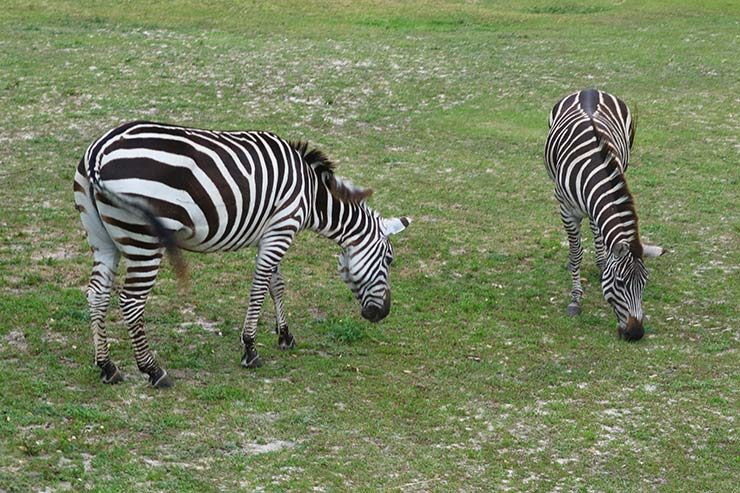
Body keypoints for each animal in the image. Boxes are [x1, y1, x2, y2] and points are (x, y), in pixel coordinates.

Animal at [73, 121, 410, 386]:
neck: (312, 195)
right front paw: (250, 349)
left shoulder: (271, 233)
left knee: (97, 295)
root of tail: (98, 152)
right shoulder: (282, 229)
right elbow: (260, 287)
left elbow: (276, 284)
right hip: (143, 240)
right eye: (389, 260)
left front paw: (285, 336)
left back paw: (107, 367)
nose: (382, 314)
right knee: (131, 302)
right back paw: (153, 371)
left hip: (103, 239)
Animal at [544, 88, 664, 340]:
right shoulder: (566, 210)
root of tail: (589, 89)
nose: (636, 333)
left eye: (645, 283)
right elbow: (576, 253)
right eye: (619, 283)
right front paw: (575, 299)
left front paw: (602, 266)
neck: (593, 167)